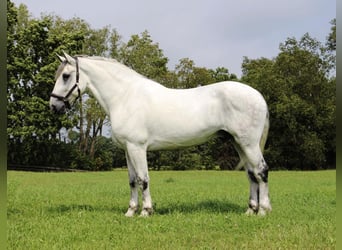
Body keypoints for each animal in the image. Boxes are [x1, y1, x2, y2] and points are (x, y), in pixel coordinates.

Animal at [49, 52, 272, 217]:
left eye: (66, 76)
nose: (54, 106)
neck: (124, 97)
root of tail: (258, 96)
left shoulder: (137, 148)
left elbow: (143, 179)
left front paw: (146, 211)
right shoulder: (128, 150)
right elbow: (132, 181)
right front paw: (130, 212)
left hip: (249, 144)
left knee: (261, 171)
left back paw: (263, 211)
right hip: (238, 143)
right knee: (251, 174)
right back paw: (250, 210)